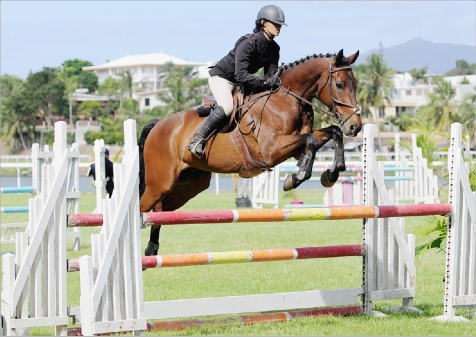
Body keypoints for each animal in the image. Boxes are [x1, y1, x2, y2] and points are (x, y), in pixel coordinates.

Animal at [138, 48, 360, 255]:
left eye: (356, 84)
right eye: (339, 85)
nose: (355, 126)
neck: (287, 99)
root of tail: (159, 125)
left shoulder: (294, 148)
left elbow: (333, 133)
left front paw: (331, 174)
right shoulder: (271, 150)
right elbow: (312, 140)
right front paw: (297, 177)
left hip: (188, 186)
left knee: (159, 210)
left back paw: (151, 250)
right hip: (161, 183)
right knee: (143, 207)